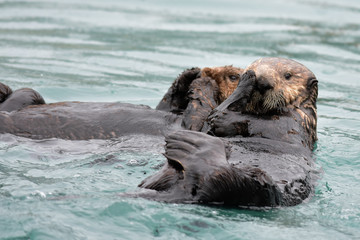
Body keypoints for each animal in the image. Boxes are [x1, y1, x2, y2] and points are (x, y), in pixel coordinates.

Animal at [0, 65, 242, 140]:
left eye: (233, 76)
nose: (209, 70)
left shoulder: (202, 128)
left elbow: (196, 120)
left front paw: (204, 82)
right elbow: (166, 104)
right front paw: (190, 74)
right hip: (29, 96)